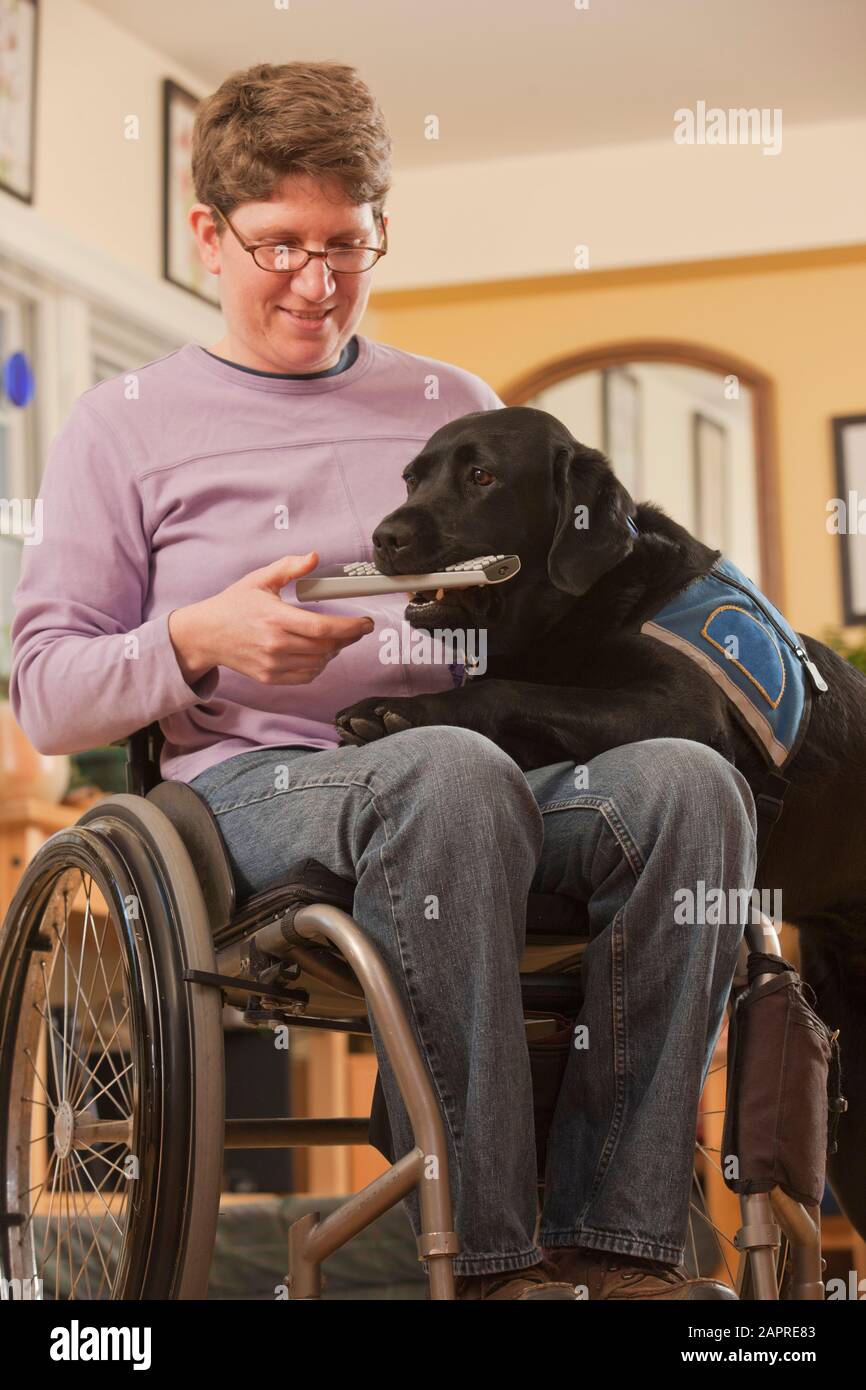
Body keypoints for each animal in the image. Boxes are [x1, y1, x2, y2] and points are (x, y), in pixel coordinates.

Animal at [335, 405, 866, 1239]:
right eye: (412, 476)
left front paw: (404, 709)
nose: (385, 535)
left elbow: (507, 691)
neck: (576, 606)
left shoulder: (681, 707)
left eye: (481, 476)